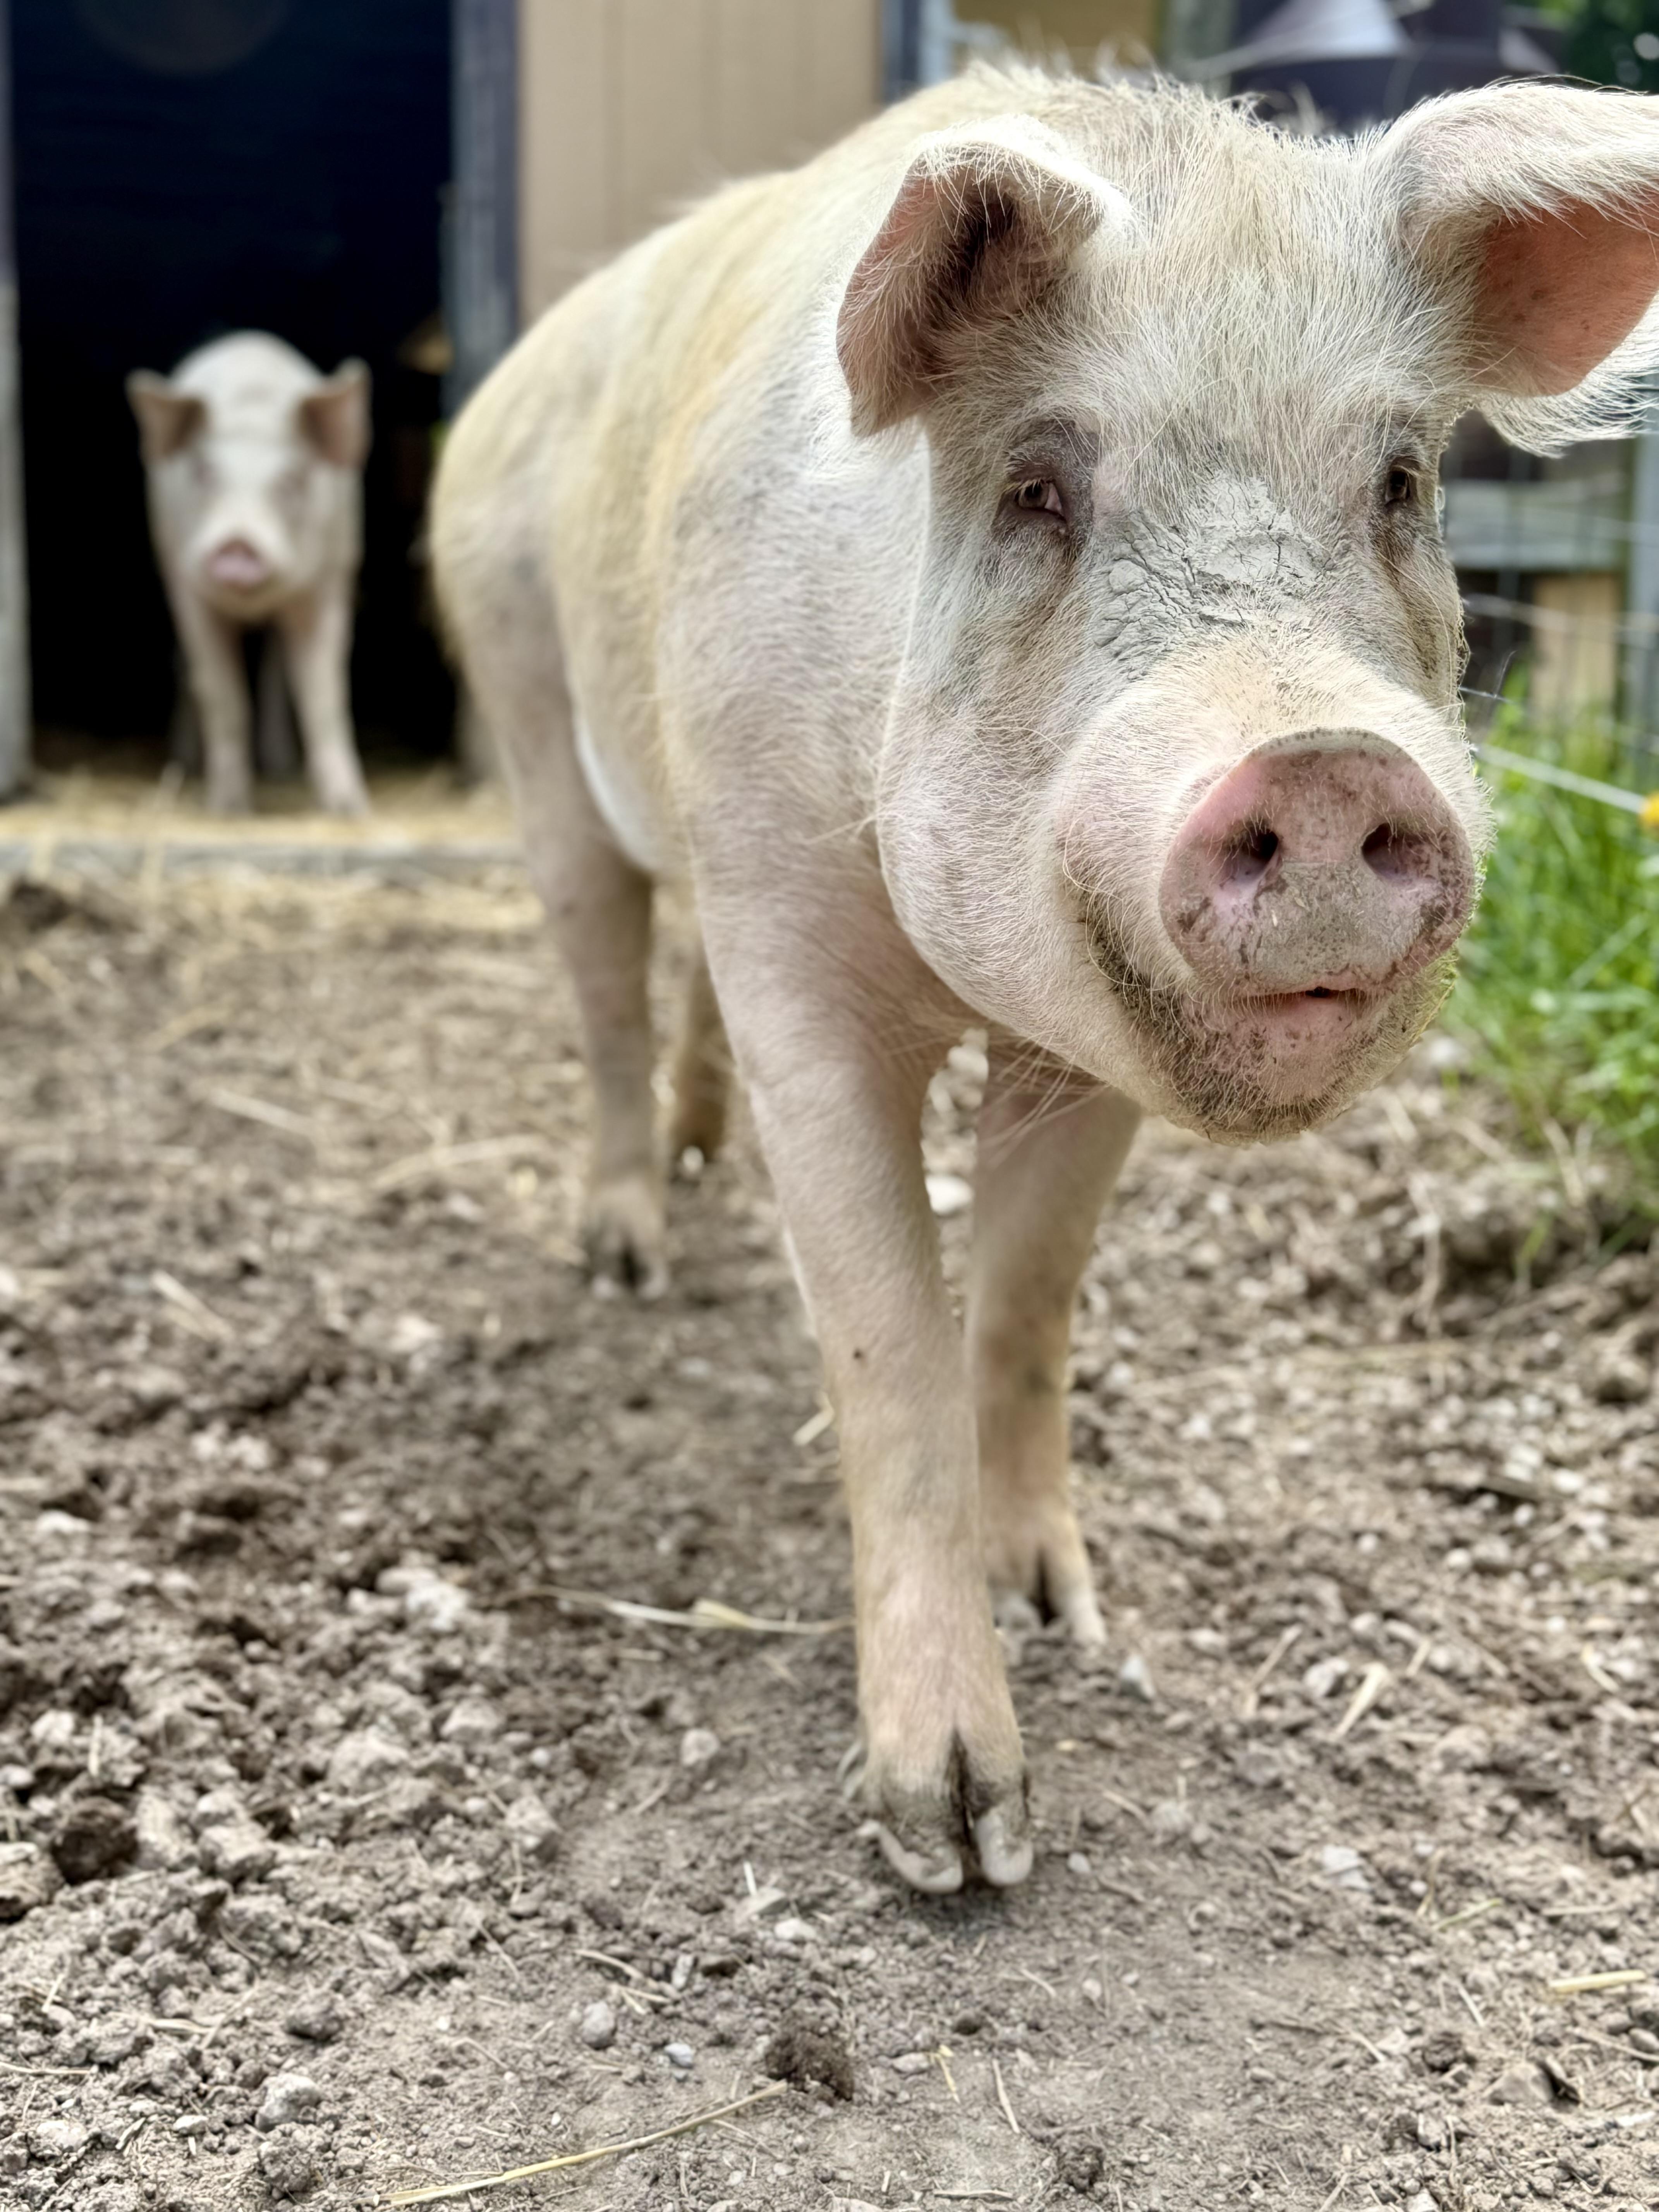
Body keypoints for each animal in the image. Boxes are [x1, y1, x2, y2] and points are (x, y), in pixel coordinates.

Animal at [128, 333, 371, 817]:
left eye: (293, 479)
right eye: (204, 471)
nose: (237, 545)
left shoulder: (332, 576)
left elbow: (323, 693)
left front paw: (352, 811)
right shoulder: (188, 586)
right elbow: (223, 696)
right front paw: (227, 810)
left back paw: (280, 767)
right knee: (188, 670)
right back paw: (186, 762)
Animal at [431, 71, 1659, 1891]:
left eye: (1397, 481)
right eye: (1034, 488)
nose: (1321, 760)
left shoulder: (1084, 1055)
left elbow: (1023, 1302)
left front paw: (1064, 1612)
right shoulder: (790, 942)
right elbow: (887, 1344)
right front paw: (958, 1842)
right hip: (532, 724)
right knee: (601, 994)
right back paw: (629, 1254)